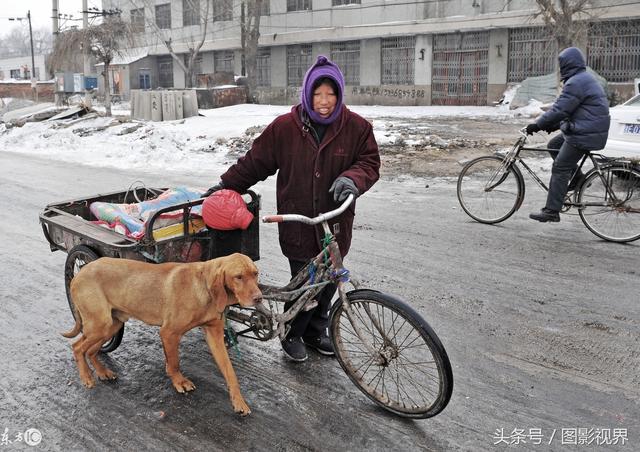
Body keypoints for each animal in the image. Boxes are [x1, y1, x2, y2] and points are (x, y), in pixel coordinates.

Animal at [60, 252, 260, 414]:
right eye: (238, 277)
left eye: (255, 274)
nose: (259, 298)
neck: (204, 286)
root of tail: (79, 273)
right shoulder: (169, 333)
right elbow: (174, 363)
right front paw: (179, 381)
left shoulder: (215, 335)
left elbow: (230, 372)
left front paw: (239, 402)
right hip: (100, 325)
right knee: (77, 347)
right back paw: (86, 377)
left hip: (111, 325)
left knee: (90, 350)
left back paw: (102, 372)